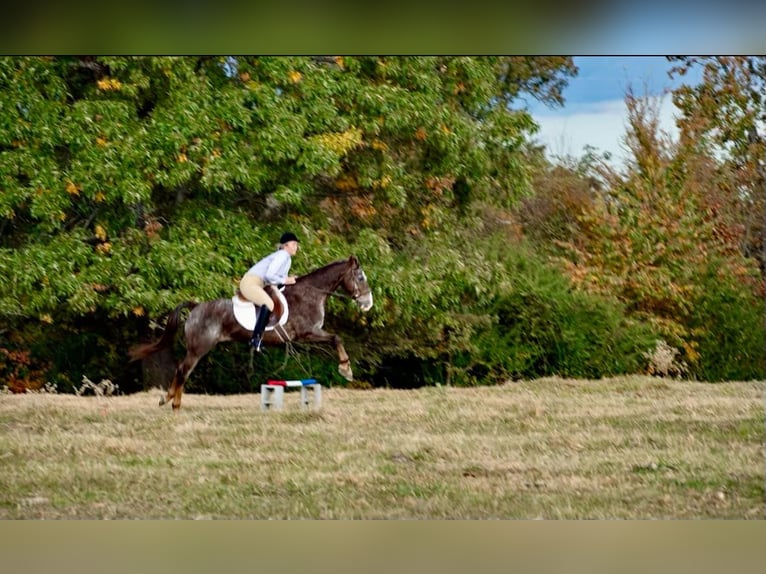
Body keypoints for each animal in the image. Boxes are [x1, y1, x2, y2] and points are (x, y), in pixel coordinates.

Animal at [129, 255, 376, 410]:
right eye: (360, 277)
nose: (368, 304)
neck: (312, 293)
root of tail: (197, 306)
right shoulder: (308, 333)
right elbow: (336, 337)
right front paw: (346, 370)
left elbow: (335, 338)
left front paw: (346, 369)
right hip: (199, 347)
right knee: (182, 370)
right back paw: (171, 401)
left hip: (199, 348)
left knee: (183, 371)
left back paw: (172, 401)